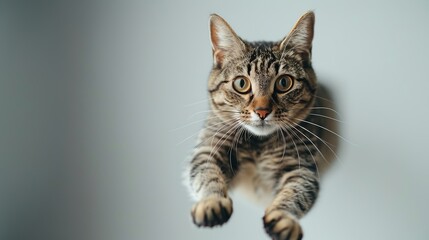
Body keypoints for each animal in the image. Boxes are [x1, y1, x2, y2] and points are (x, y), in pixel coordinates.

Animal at [184, 11, 338, 240]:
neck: (258, 144)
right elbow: (207, 175)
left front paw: (283, 218)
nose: (262, 111)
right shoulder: (208, 149)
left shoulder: (302, 168)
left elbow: (297, 193)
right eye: (241, 83)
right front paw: (212, 202)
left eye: (284, 83)